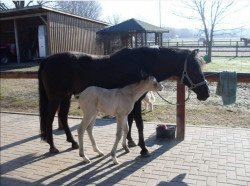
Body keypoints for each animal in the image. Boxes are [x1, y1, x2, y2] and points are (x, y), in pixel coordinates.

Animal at [38, 46, 209, 155]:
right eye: (193, 69)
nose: (205, 93)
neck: (141, 62)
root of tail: (47, 59)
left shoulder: (132, 103)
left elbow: (130, 122)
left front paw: (130, 142)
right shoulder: (137, 102)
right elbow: (139, 123)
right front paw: (143, 149)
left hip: (66, 96)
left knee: (62, 116)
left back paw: (72, 142)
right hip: (55, 97)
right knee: (49, 118)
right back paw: (52, 146)